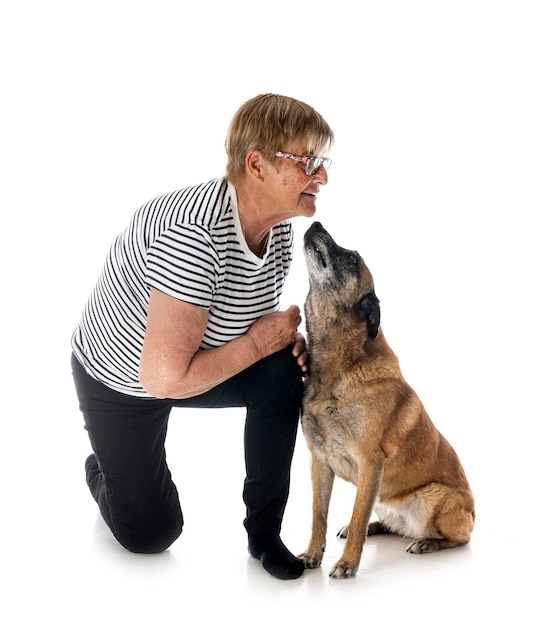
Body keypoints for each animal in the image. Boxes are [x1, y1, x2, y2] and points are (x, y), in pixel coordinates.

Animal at [298, 222, 474, 576]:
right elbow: (318, 516)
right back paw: (374, 527)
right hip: (384, 500)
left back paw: (427, 543)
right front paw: (312, 553)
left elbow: (356, 515)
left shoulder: (370, 462)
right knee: (384, 523)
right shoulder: (319, 459)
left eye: (352, 259)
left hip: (434, 499)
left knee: (458, 539)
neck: (340, 365)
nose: (316, 224)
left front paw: (347, 564)